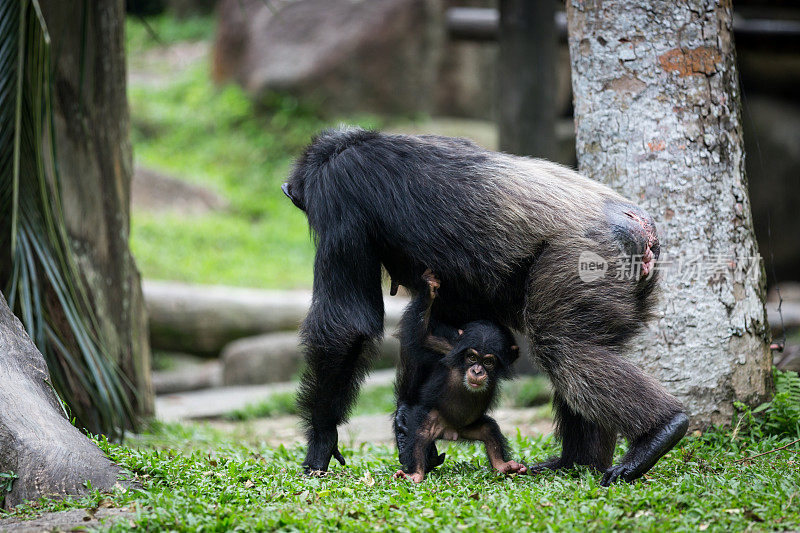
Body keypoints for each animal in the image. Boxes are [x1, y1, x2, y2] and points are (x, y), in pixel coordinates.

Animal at [392, 270, 524, 482]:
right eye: (471, 357)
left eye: (488, 362)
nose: (477, 370)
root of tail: (451, 433)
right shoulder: (446, 348)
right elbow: (422, 337)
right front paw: (430, 288)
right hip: (434, 420)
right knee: (421, 434)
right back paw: (416, 474)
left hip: (472, 427)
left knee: (490, 431)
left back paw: (502, 466)